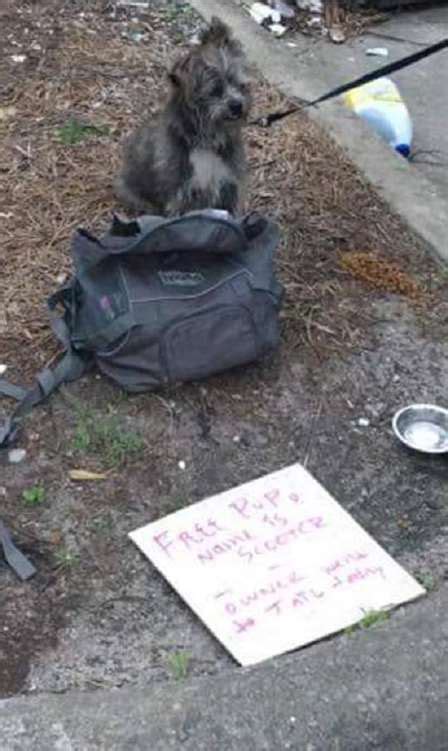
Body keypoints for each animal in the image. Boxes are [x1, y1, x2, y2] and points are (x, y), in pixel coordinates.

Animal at [115, 17, 250, 216]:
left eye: (239, 84)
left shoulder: (228, 187)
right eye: (215, 90)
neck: (206, 144)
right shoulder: (180, 196)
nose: (237, 106)